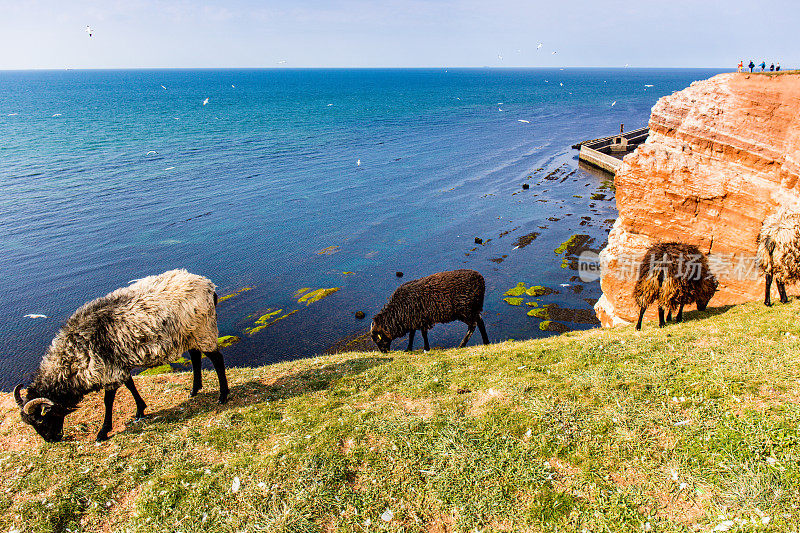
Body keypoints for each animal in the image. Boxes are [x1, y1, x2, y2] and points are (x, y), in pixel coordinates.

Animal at [13, 270, 228, 440]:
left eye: (41, 420)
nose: (51, 440)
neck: (73, 359)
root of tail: (208, 285)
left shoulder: (108, 371)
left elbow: (108, 401)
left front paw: (103, 432)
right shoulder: (118, 365)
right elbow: (130, 385)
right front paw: (140, 410)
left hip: (204, 329)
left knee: (217, 360)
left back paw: (223, 396)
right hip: (189, 333)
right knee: (195, 357)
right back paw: (194, 390)